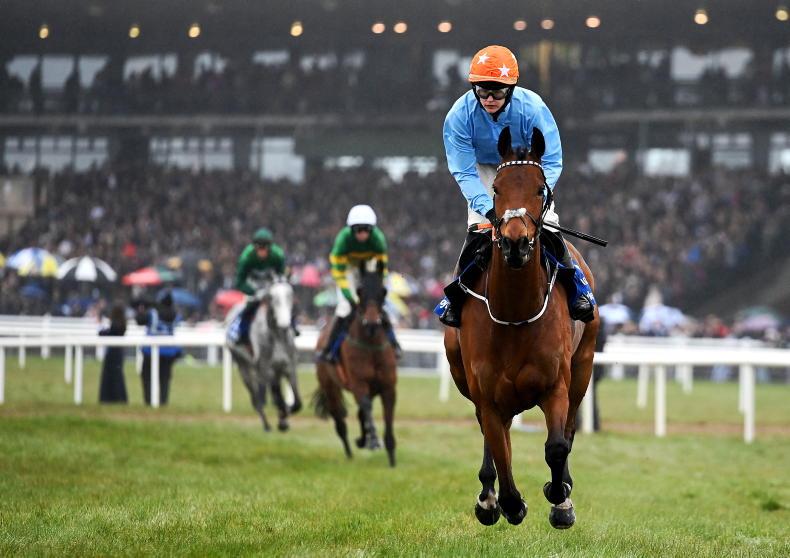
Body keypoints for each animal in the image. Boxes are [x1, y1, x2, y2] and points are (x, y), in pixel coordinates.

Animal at [226, 275, 302, 432]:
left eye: (290, 294)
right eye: (272, 297)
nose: (284, 324)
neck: (278, 337)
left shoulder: (289, 367)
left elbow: (296, 403)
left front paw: (284, 418)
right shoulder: (267, 369)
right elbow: (276, 399)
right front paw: (282, 419)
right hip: (245, 369)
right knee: (257, 400)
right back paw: (266, 425)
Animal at [314, 261, 398, 466]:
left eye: (383, 291)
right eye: (359, 290)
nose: (372, 323)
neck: (371, 344)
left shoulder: (388, 386)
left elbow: (386, 418)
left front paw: (391, 458)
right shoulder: (359, 383)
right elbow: (366, 408)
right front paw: (374, 440)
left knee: (360, 413)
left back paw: (361, 439)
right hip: (330, 387)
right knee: (340, 422)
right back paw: (350, 452)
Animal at [443, 127, 600, 529]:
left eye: (540, 188)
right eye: (497, 189)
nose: (516, 242)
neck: (515, 314)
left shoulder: (555, 383)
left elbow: (557, 445)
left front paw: (559, 499)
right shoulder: (486, 392)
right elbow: (499, 448)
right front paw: (505, 502)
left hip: (584, 365)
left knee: (570, 430)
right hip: (462, 375)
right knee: (491, 434)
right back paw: (488, 496)